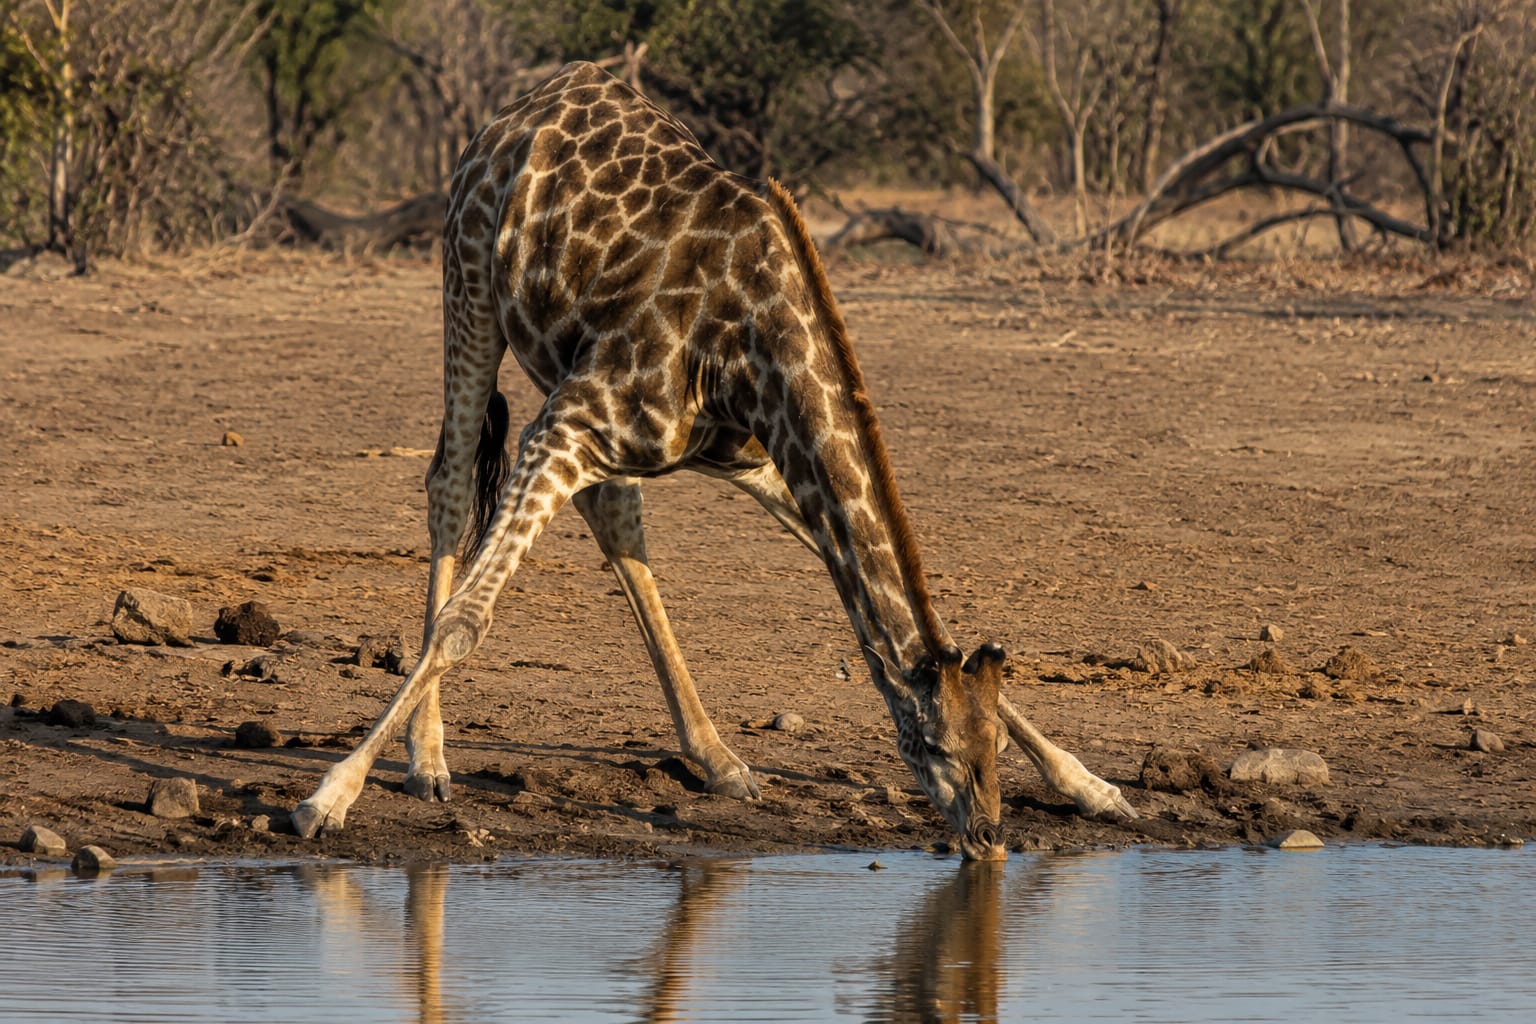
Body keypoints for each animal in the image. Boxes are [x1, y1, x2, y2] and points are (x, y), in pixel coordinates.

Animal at [291, 61, 1135, 859]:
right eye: (931, 746)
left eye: (991, 749)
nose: (988, 839)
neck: (755, 350)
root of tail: (525, 106)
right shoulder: (561, 427)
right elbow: (466, 621)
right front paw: (328, 795)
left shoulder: (754, 454)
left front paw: (1092, 786)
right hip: (469, 292)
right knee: (452, 484)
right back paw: (427, 760)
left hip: (584, 396)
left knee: (614, 517)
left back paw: (718, 758)